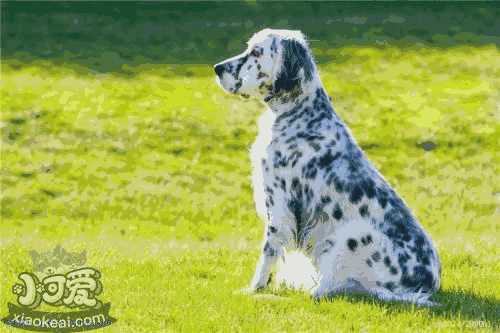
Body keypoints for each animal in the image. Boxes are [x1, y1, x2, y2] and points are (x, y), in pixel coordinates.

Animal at [213, 29, 440, 306]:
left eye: (256, 52)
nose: (217, 68)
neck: (300, 115)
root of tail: (425, 285)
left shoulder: (279, 205)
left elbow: (268, 252)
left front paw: (255, 288)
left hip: (352, 234)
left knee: (326, 290)